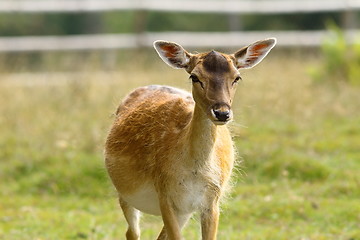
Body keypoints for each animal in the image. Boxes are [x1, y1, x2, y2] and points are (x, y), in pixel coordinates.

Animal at [104, 38, 276, 239]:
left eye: (237, 77)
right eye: (194, 77)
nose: (222, 113)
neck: (195, 173)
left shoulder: (211, 201)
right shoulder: (165, 194)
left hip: (184, 211)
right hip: (125, 194)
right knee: (132, 232)